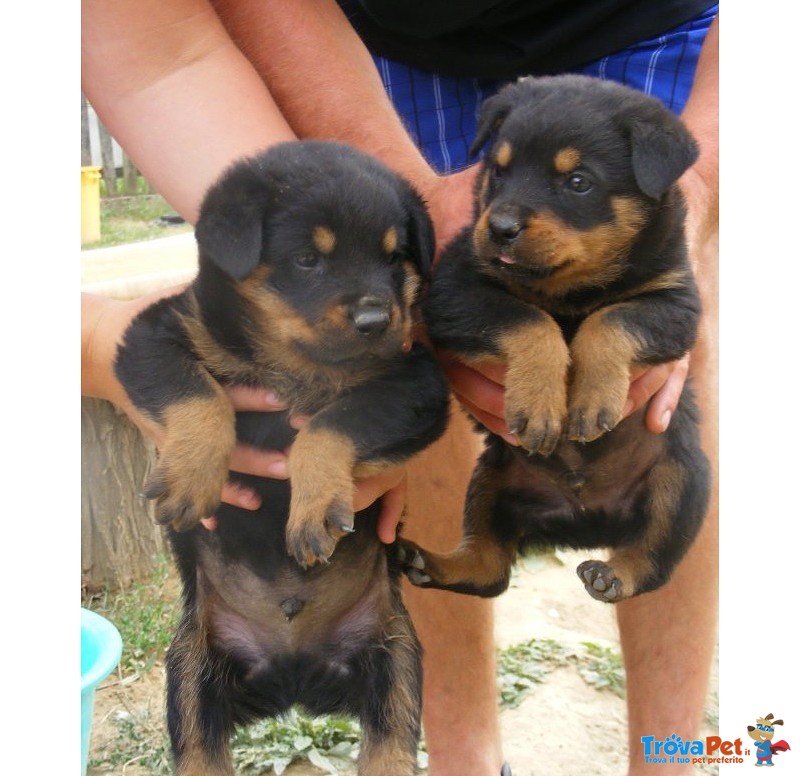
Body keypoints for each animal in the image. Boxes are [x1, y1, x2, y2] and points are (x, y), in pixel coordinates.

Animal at [112, 141, 450, 776]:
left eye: (395, 257)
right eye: (307, 260)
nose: (377, 319)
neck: (296, 365)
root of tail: (295, 682)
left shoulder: (415, 382)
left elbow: (330, 422)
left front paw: (312, 506)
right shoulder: (153, 332)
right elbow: (194, 390)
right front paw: (193, 477)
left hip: (395, 662)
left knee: (389, 740)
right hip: (191, 673)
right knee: (199, 746)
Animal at [400, 73, 712, 604]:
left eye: (578, 182)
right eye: (499, 171)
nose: (499, 228)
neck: (569, 289)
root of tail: (586, 523)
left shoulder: (675, 303)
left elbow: (611, 319)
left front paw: (591, 399)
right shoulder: (455, 289)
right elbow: (530, 321)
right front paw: (541, 405)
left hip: (684, 474)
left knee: (652, 560)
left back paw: (613, 574)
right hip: (493, 478)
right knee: (490, 568)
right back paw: (430, 562)